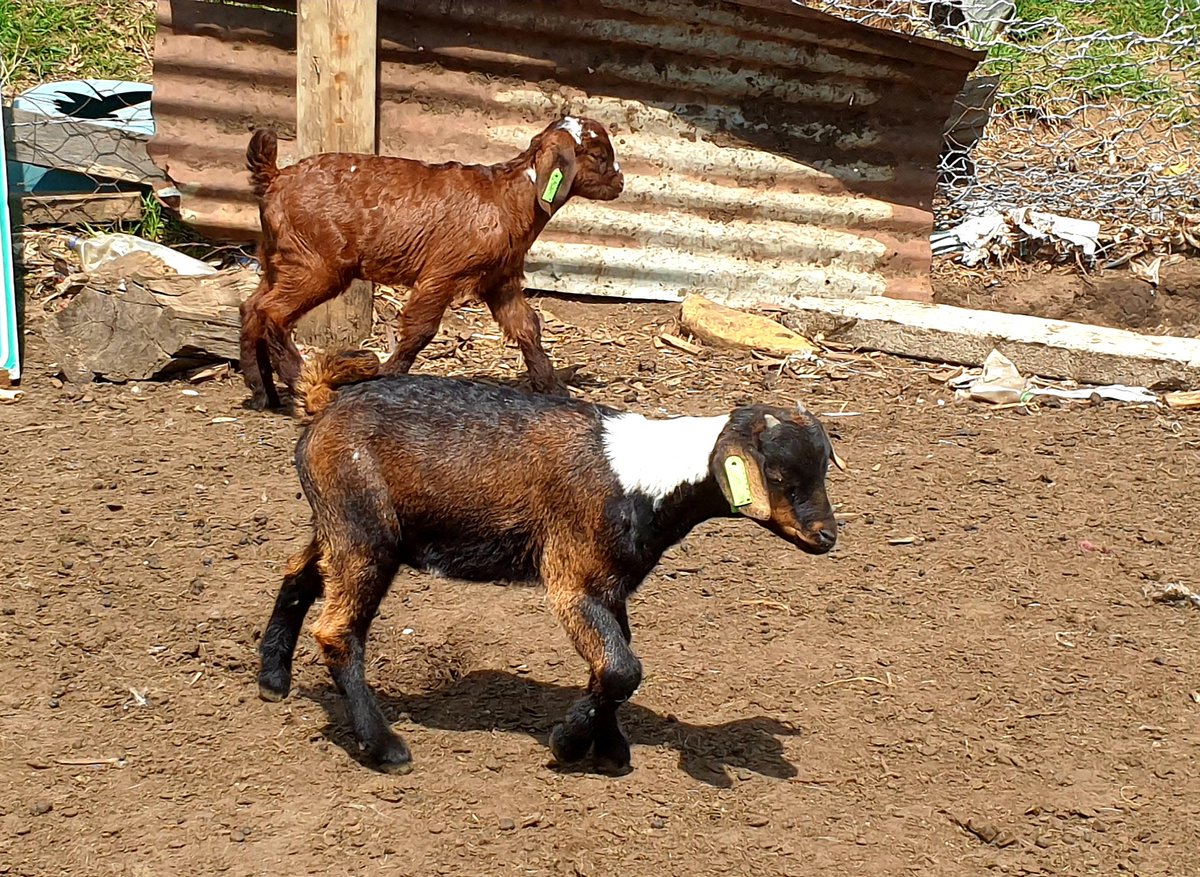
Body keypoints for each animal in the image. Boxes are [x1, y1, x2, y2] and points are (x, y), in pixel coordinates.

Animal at [238, 116, 624, 410]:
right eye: (598, 154)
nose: (621, 182)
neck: (509, 199)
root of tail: (275, 177)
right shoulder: (444, 270)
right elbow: (420, 329)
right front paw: (387, 376)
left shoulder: (500, 279)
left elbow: (527, 326)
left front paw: (553, 387)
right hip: (316, 262)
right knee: (273, 312)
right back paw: (298, 382)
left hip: (279, 257)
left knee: (252, 307)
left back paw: (262, 393)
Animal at [257, 351, 846, 775]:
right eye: (781, 476)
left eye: (822, 469)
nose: (826, 536)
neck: (644, 479)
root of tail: (322, 407)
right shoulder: (572, 575)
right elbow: (622, 667)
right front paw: (567, 744)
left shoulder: (609, 583)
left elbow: (613, 662)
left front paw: (609, 748)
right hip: (363, 529)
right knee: (337, 631)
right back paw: (384, 748)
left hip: (343, 524)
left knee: (296, 573)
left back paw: (273, 679)